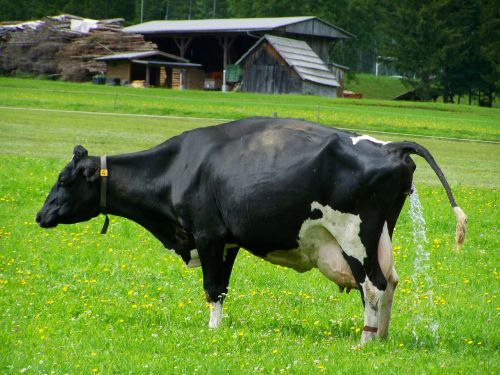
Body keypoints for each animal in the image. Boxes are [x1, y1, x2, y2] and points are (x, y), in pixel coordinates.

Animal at [37, 117, 466, 344]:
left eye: (63, 179)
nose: (40, 216)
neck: (179, 165)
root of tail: (390, 146)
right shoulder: (227, 242)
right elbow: (223, 289)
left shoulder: (208, 235)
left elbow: (212, 288)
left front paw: (211, 331)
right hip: (379, 236)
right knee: (389, 283)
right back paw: (381, 338)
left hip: (354, 236)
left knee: (373, 286)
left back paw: (364, 340)